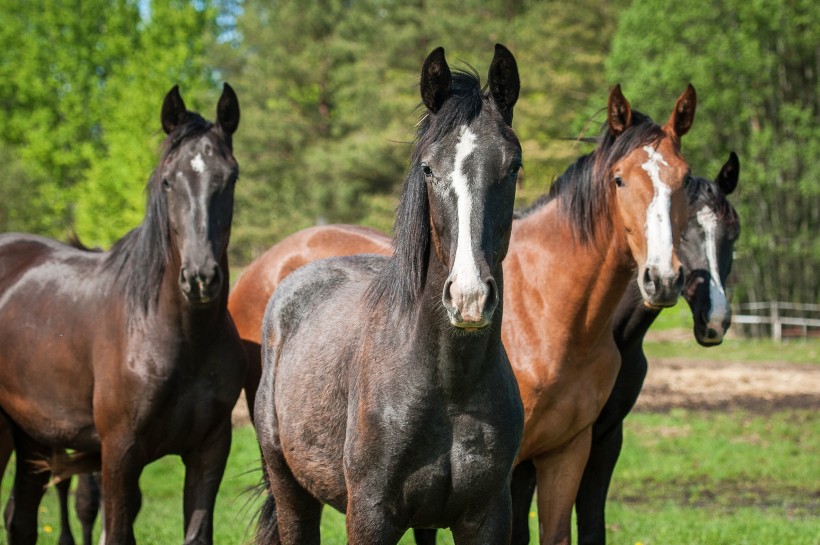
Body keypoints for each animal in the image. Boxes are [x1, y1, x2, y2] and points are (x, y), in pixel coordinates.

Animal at [0, 83, 245, 545]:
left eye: (231, 177)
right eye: (167, 180)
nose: (201, 278)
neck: (179, 336)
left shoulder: (209, 450)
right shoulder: (119, 451)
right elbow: (114, 530)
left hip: (33, 437)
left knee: (21, 519)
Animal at [253, 44, 525, 544]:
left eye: (513, 166)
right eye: (428, 168)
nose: (469, 297)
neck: (448, 384)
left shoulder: (487, 516)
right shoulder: (371, 516)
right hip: (290, 490)